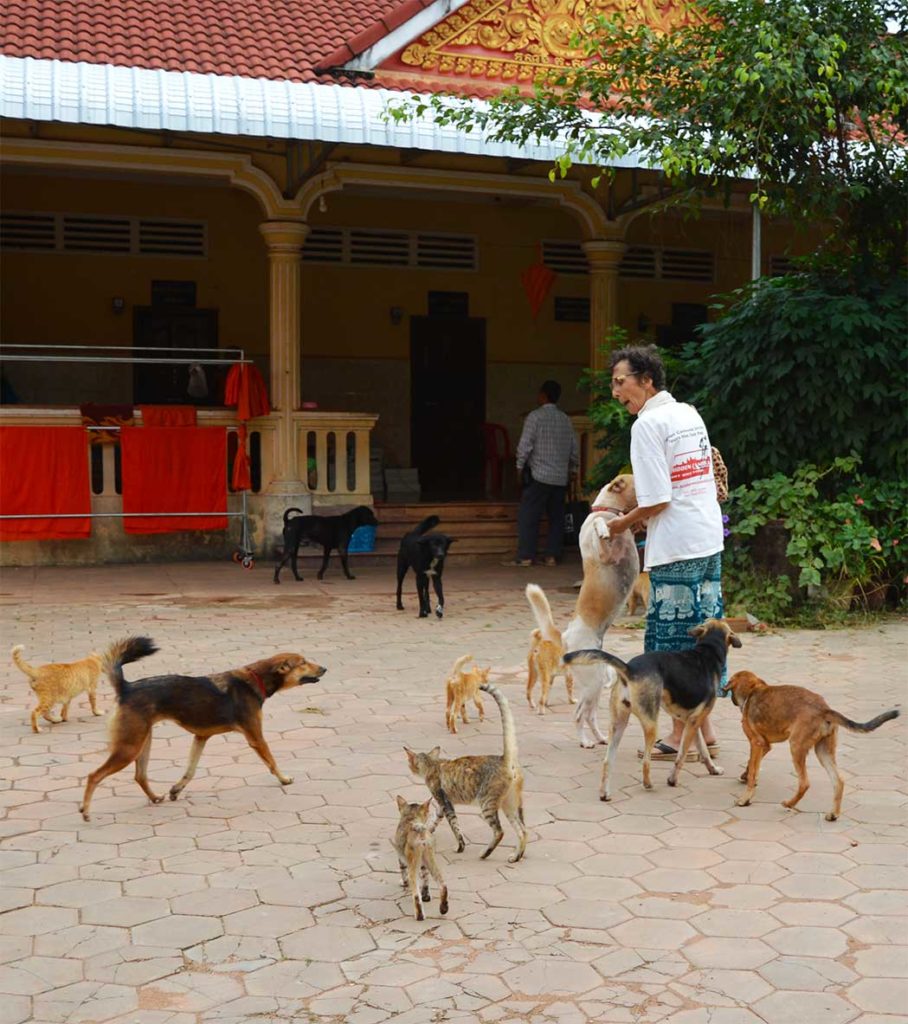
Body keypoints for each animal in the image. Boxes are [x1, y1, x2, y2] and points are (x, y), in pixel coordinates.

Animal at [78, 634, 327, 819]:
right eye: (303, 662)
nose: (324, 668)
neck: (255, 679)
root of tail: (126, 687)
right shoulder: (256, 737)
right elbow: (272, 762)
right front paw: (284, 779)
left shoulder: (201, 737)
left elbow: (190, 771)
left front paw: (176, 789)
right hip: (129, 747)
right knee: (93, 775)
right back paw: (86, 811)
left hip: (141, 742)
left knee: (140, 776)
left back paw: (155, 797)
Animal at [569, 614, 737, 798]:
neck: (708, 652)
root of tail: (630, 668)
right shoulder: (693, 722)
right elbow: (681, 756)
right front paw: (672, 780)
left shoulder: (691, 722)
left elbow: (704, 750)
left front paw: (713, 769)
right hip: (651, 725)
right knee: (645, 761)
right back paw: (648, 784)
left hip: (618, 724)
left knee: (608, 761)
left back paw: (605, 794)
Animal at [728, 671, 896, 823]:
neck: (752, 693)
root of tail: (823, 709)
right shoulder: (765, 745)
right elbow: (752, 765)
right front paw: (746, 777)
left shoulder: (756, 742)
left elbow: (753, 771)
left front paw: (745, 798)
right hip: (823, 751)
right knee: (838, 780)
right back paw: (833, 814)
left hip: (796, 746)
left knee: (804, 783)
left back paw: (789, 804)